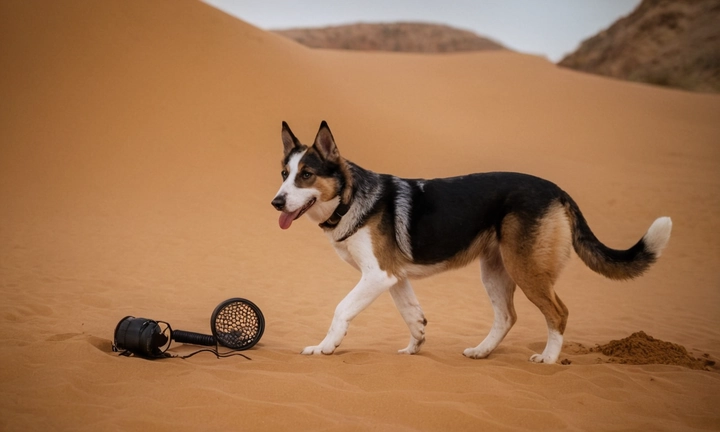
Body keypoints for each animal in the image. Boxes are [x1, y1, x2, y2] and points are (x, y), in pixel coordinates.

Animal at [272, 121, 672, 364]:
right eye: (284, 174)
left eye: (306, 175)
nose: (276, 202)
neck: (350, 197)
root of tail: (558, 191)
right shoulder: (394, 277)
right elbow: (413, 316)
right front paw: (415, 345)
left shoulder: (377, 275)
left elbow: (341, 310)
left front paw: (325, 346)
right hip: (495, 270)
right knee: (507, 316)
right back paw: (482, 351)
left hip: (525, 268)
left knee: (558, 313)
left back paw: (548, 359)